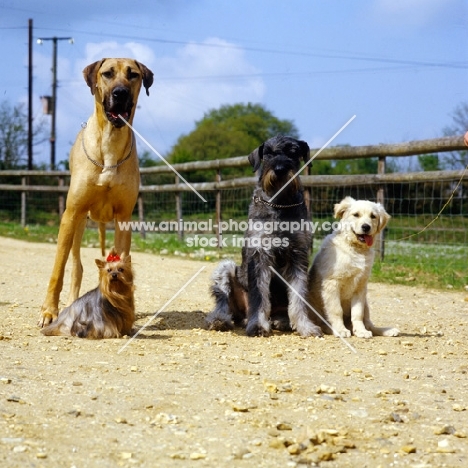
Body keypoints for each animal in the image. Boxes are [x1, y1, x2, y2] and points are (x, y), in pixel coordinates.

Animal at [207, 133, 324, 338]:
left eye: (293, 152)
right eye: (268, 154)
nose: (280, 169)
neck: (280, 203)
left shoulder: (297, 255)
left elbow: (298, 295)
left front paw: (305, 326)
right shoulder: (259, 255)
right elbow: (259, 296)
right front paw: (258, 326)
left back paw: (281, 321)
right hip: (226, 269)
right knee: (224, 302)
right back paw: (221, 320)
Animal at [308, 196, 398, 338]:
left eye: (373, 216)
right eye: (356, 215)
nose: (366, 227)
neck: (356, 249)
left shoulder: (360, 287)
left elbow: (357, 313)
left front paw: (360, 331)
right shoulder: (332, 284)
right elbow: (336, 310)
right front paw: (340, 330)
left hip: (366, 303)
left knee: (370, 324)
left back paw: (386, 330)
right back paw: (332, 328)